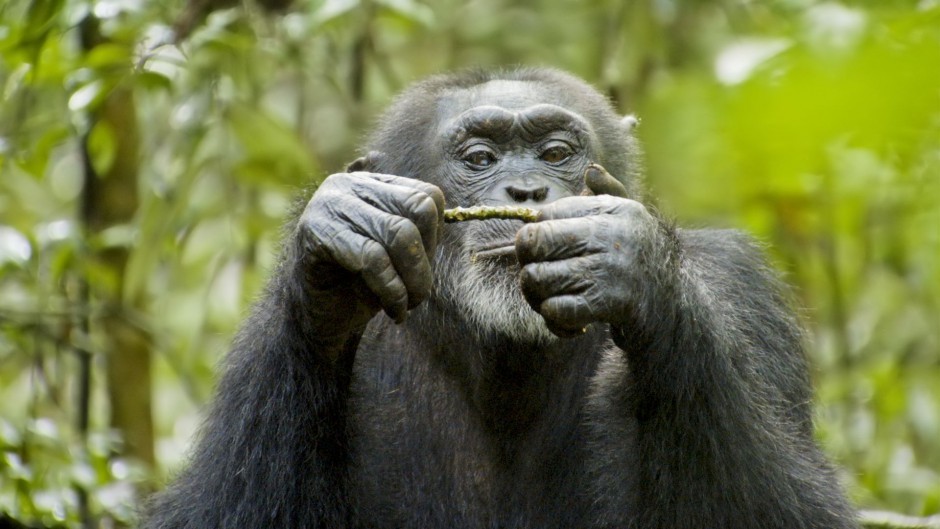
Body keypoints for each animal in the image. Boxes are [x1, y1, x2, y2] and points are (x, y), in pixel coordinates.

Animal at [141, 68, 860, 528]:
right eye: (481, 157)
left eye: (557, 151)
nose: (526, 189)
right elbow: (213, 509)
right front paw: (338, 249)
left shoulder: (740, 285)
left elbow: (800, 508)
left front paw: (630, 258)